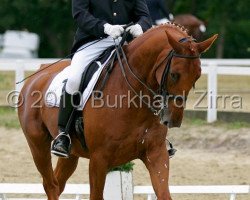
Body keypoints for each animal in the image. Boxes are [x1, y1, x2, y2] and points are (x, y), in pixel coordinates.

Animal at [18, 23, 217, 200]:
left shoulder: (156, 152)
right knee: (50, 185)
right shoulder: (99, 159)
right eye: (174, 74)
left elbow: (164, 194)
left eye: (197, 76)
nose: (173, 120)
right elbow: (96, 196)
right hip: (38, 145)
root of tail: (38, 73)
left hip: (71, 154)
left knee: (58, 183)